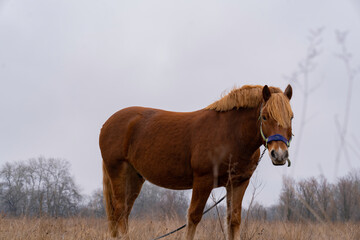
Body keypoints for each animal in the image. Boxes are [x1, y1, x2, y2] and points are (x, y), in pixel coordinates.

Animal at [100, 84, 294, 238]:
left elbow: (233, 220)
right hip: (118, 172)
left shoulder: (238, 183)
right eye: (265, 116)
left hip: (135, 177)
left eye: (291, 117)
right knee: (120, 211)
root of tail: (107, 123)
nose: (279, 155)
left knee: (124, 213)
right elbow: (193, 217)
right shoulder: (203, 180)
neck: (230, 134)